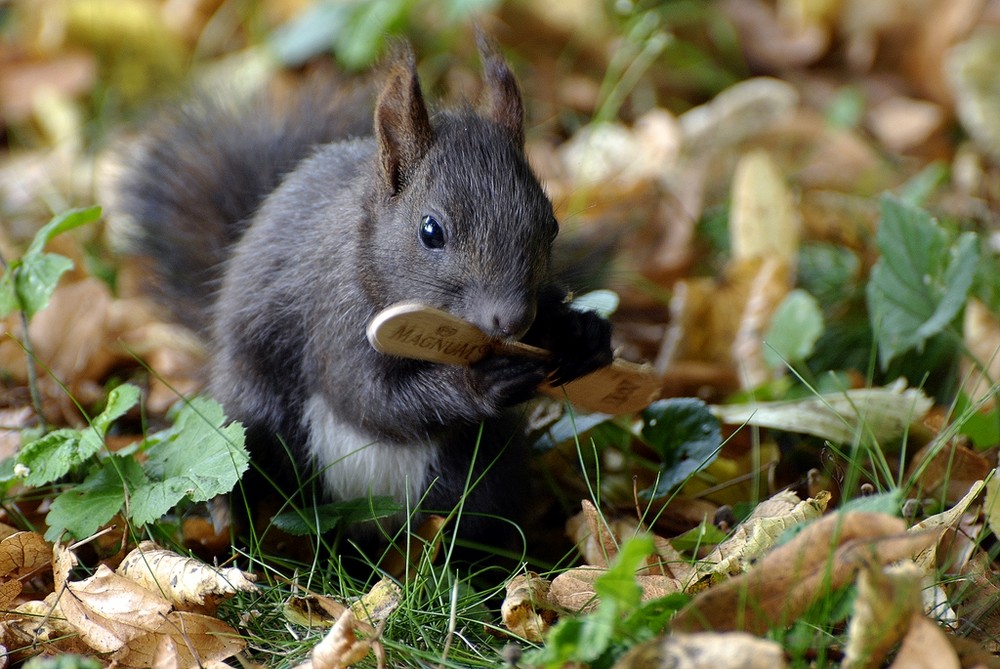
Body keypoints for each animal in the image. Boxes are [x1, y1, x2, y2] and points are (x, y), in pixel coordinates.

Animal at [105, 36, 612, 548]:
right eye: (431, 231)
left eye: (551, 224)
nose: (511, 320)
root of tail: (369, 527)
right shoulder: (334, 314)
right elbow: (364, 396)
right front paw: (481, 382)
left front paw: (584, 335)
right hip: (249, 417)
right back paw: (230, 523)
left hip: (488, 473)